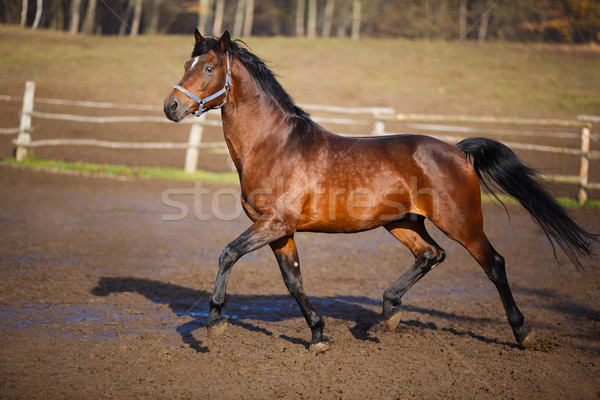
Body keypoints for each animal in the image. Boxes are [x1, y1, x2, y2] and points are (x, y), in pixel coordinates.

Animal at [163, 30, 596, 350]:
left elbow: (228, 254)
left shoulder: (274, 223)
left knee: (494, 264)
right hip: (403, 222)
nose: (171, 107)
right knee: (431, 254)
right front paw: (318, 334)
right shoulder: (280, 231)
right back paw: (387, 313)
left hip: (461, 222)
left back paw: (522, 331)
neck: (274, 146)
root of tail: (457, 151)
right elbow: (293, 281)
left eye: (209, 67)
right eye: (185, 64)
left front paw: (214, 321)